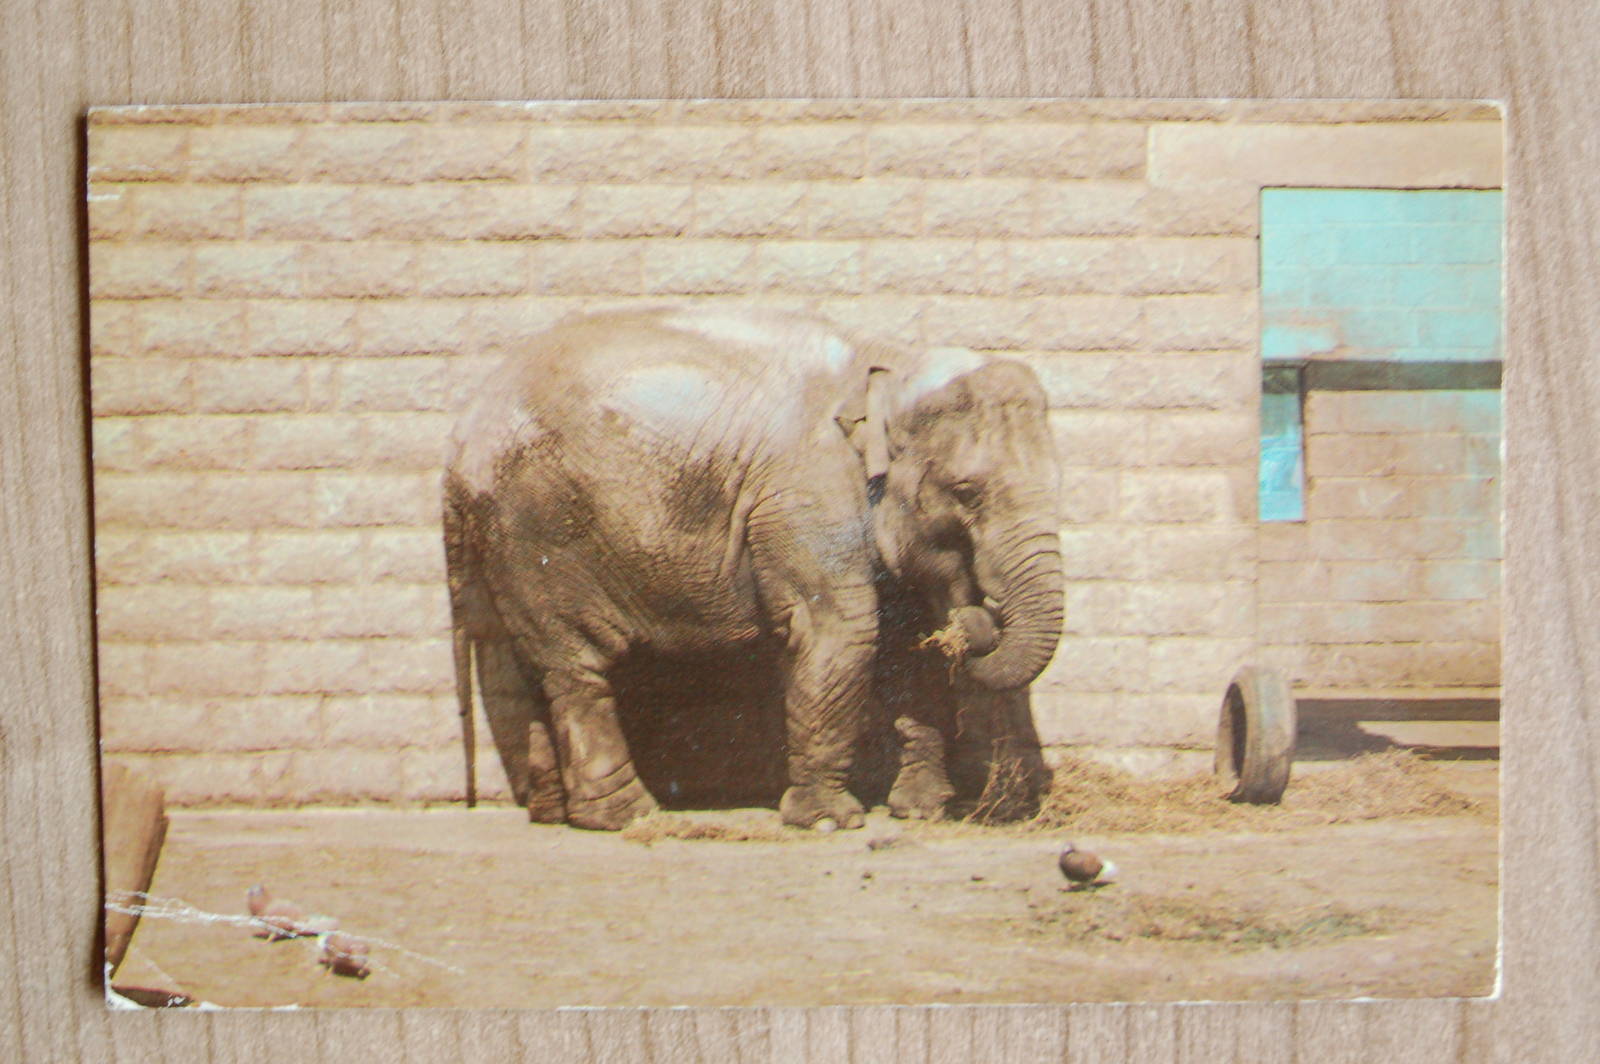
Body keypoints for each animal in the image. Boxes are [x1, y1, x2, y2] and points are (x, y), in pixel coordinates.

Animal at [442, 306, 1063, 831]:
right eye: (967, 492)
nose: (978, 618)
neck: (889, 362)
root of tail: (459, 437)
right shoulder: (807, 494)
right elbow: (841, 629)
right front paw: (827, 822)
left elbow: (909, 644)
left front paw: (922, 811)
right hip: (535, 530)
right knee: (579, 665)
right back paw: (628, 818)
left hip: (510, 551)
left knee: (538, 668)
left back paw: (553, 814)